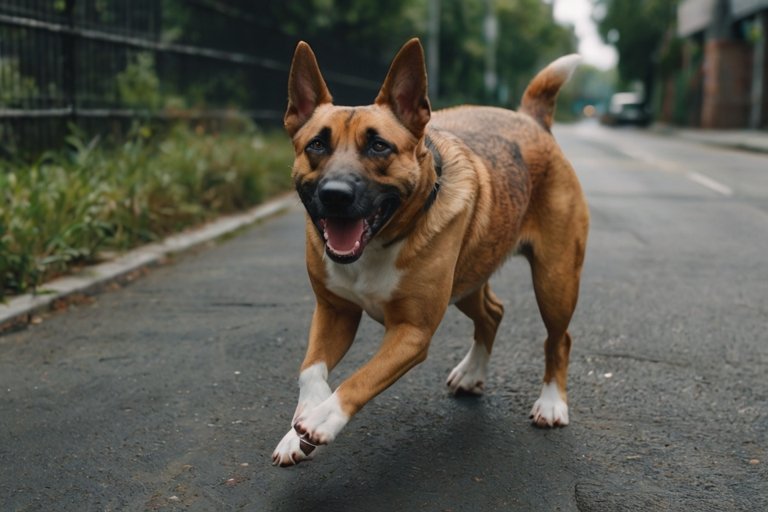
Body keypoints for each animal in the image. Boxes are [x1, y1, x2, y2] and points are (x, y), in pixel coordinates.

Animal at [272, 38, 592, 466]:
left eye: (379, 146)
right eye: (317, 145)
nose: (335, 195)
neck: (381, 241)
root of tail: (531, 120)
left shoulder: (411, 332)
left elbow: (361, 378)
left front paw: (324, 418)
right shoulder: (334, 312)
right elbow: (310, 370)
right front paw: (299, 428)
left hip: (554, 282)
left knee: (559, 339)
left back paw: (553, 402)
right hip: (468, 279)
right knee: (492, 313)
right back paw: (473, 373)